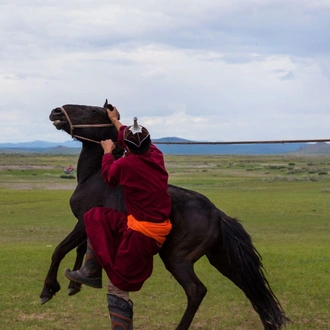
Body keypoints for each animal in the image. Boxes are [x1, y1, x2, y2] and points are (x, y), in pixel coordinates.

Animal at [41, 100, 288, 330]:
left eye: (93, 111)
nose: (56, 112)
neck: (96, 177)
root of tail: (218, 215)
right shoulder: (83, 225)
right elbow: (80, 248)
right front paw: (75, 283)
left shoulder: (82, 222)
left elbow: (60, 250)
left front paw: (49, 289)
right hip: (221, 258)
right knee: (252, 289)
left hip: (177, 258)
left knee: (197, 290)